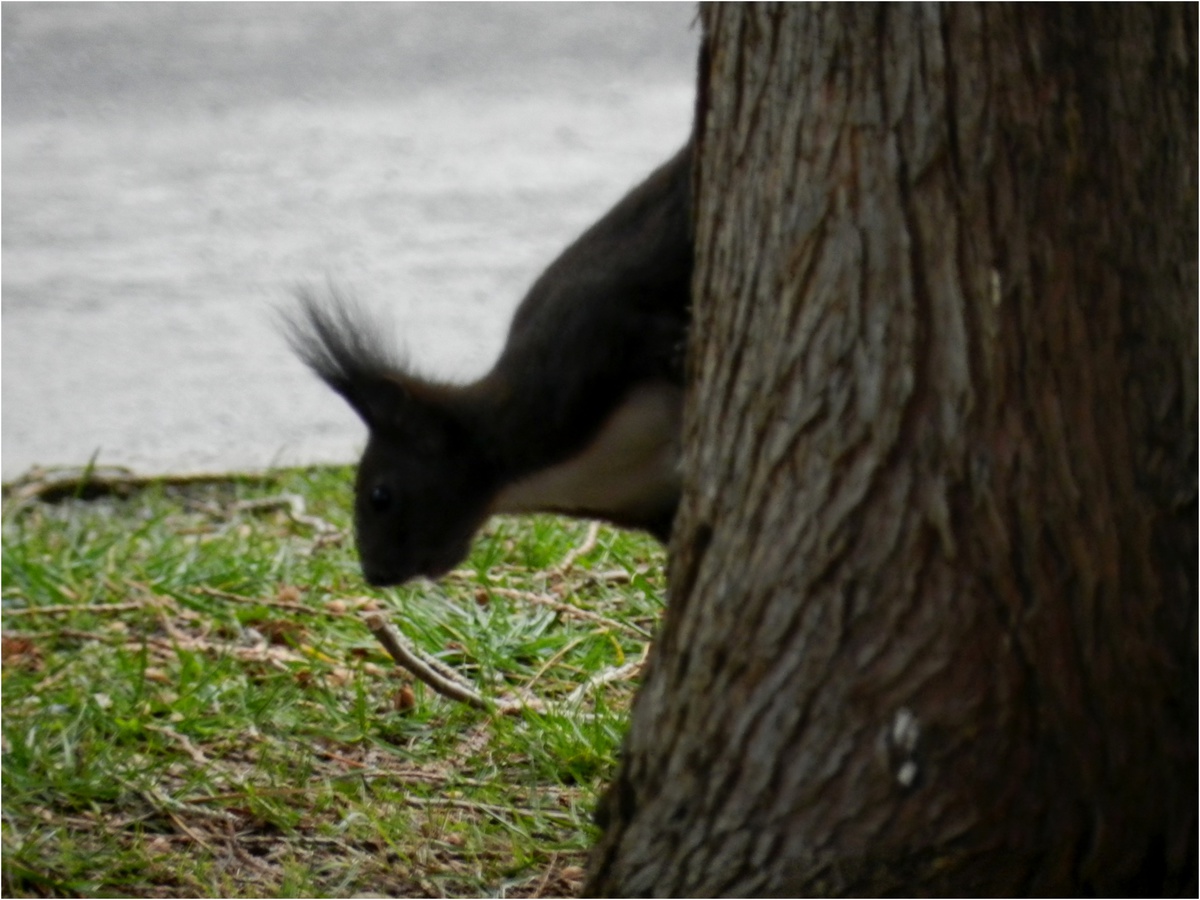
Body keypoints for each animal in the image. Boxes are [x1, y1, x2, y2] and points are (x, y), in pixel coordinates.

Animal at [284, 141, 691, 588]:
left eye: (380, 496)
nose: (376, 575)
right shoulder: (642, 495)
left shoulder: (582, 341)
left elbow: (644, 331)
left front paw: (677, 350)